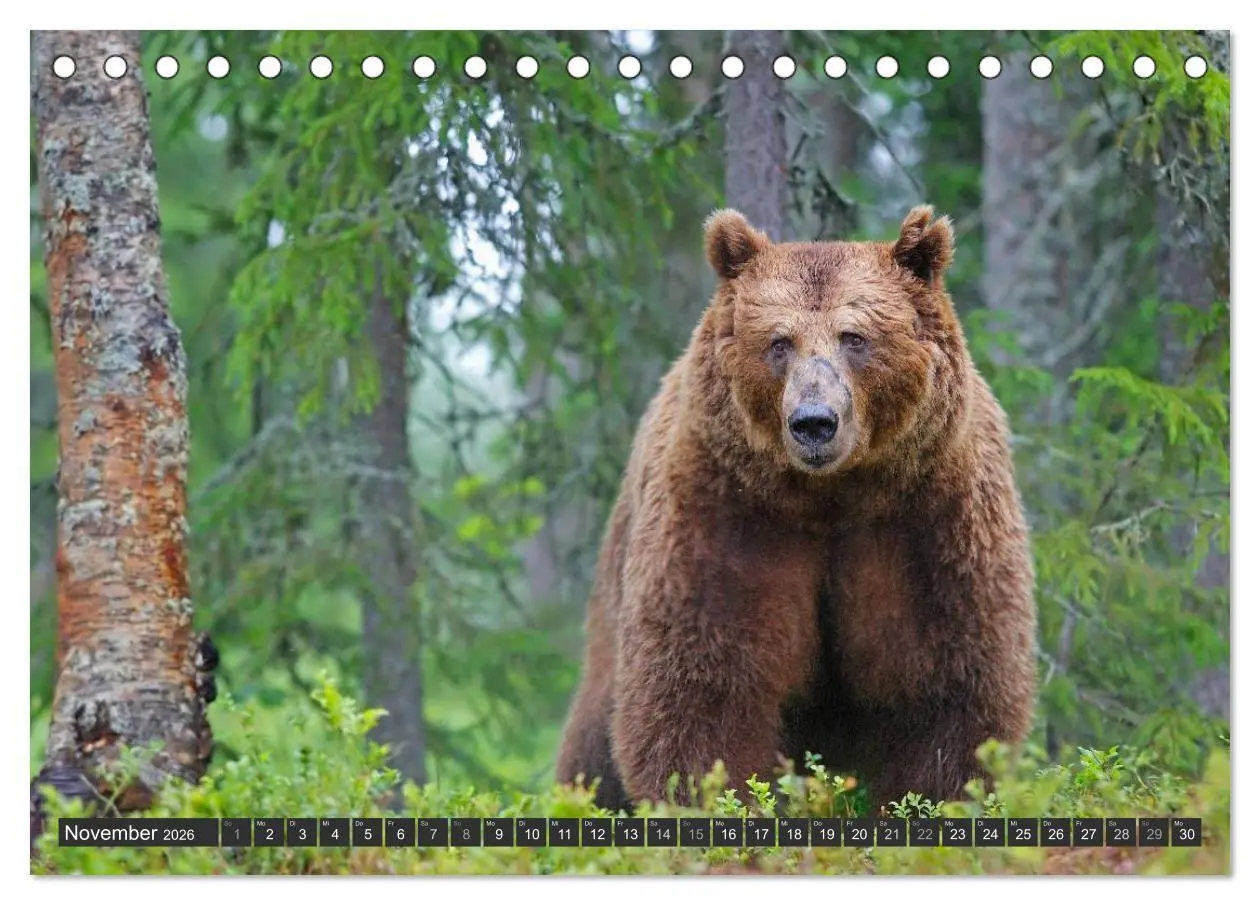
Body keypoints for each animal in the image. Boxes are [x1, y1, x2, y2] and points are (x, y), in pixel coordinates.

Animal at [556, 206, 1038, 813]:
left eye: (855, 337)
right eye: (779, 342)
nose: (813, 422)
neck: (831, 496)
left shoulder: (931, 518)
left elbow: (946, 687)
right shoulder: (729, 513)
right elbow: (704, 687)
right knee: (594, 743)